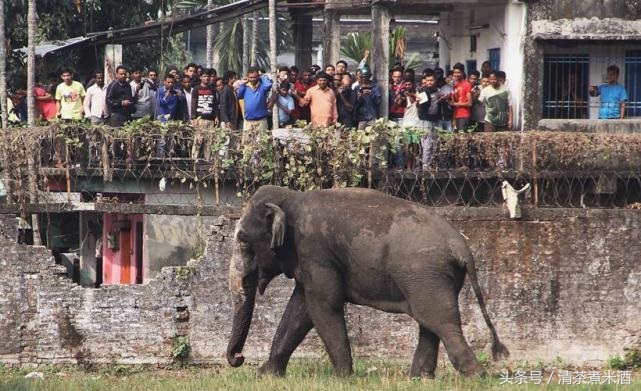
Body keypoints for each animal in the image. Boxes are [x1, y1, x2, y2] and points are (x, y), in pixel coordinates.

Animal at [228, 185, 508, 378]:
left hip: (426, 274)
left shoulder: (315, 251)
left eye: (243, 240)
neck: (291, 198)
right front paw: (266, 375)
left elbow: (324, 305)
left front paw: (343, 377)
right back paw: (419, 378)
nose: (239, 358)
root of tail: (462, 247)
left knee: (441, 322)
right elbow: (300, 309)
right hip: (432, 278)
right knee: (429, 321)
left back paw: (475, 376)